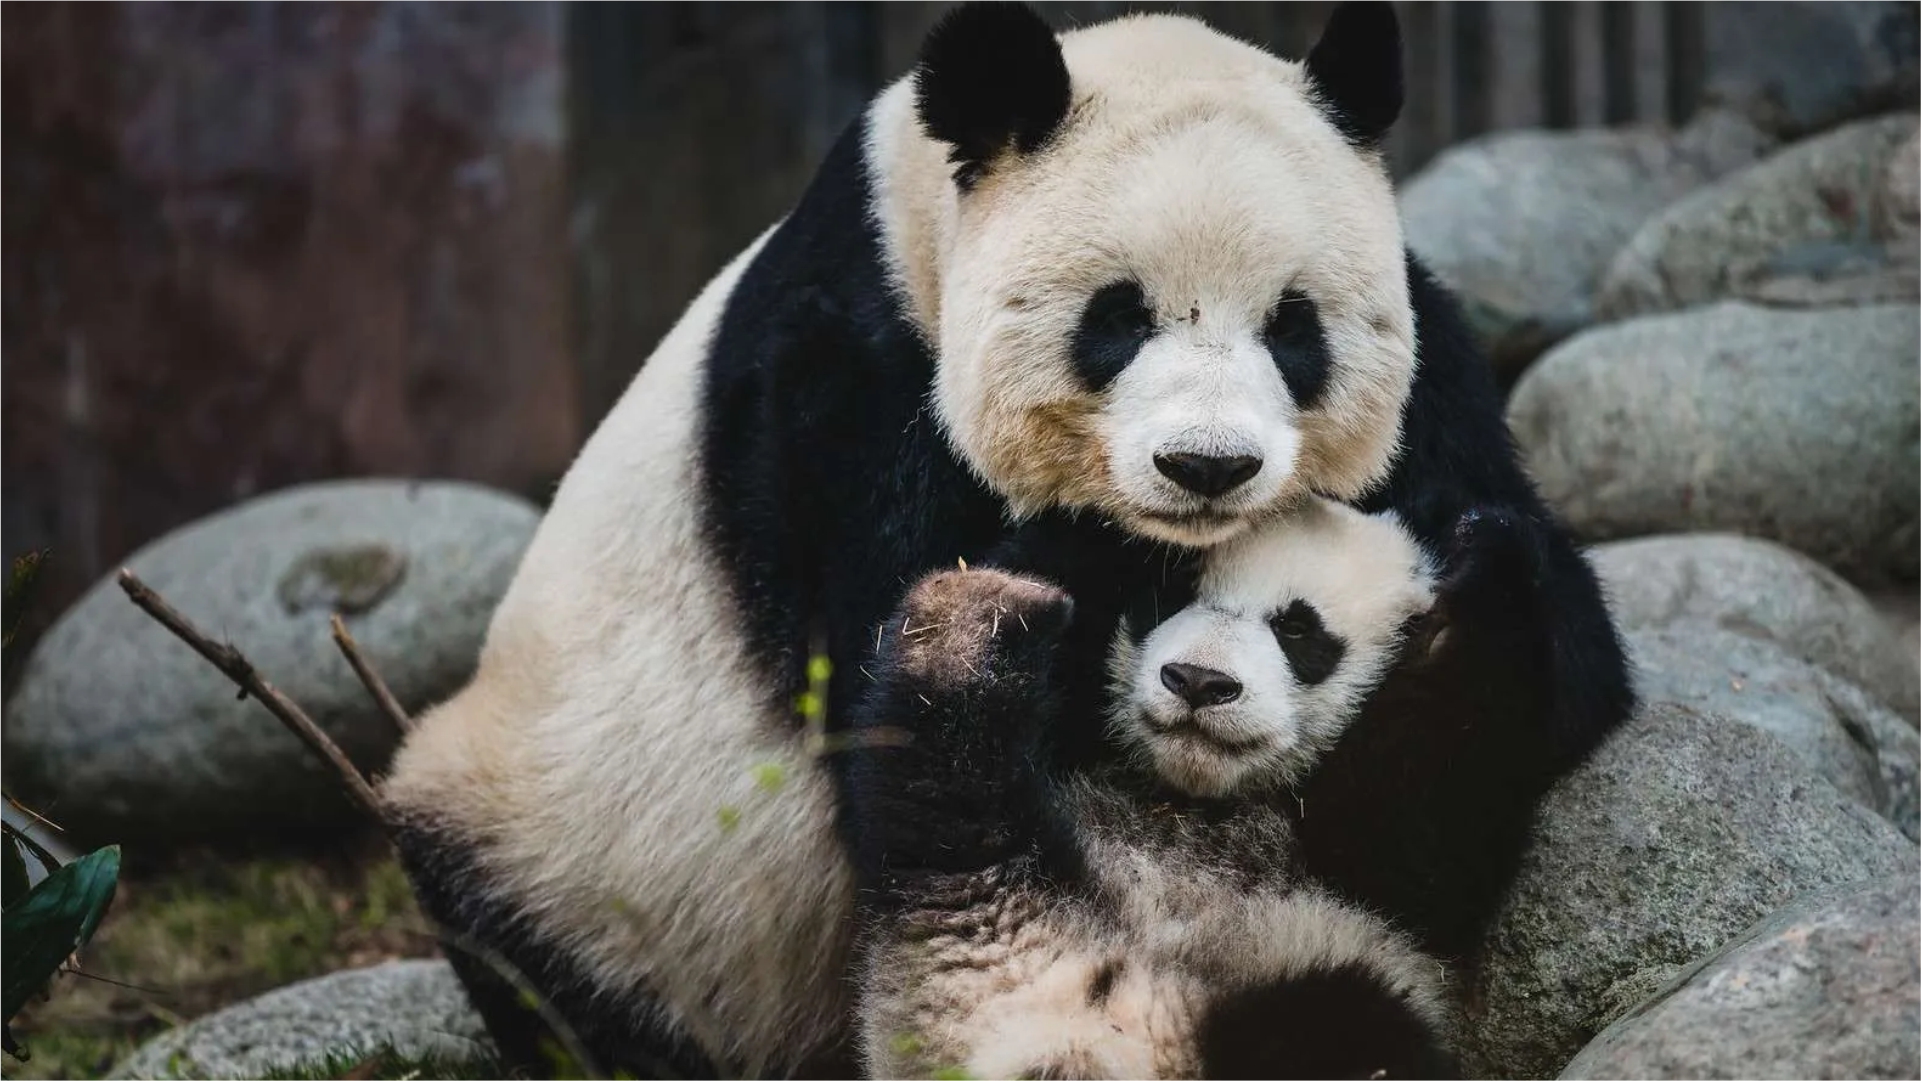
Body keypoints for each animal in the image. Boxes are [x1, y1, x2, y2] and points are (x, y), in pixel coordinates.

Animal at [844, 497, 1542, 1078]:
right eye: (1172, 594)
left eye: (1296, 628)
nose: (1199, 682)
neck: (1191, 797)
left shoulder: (1370, 863)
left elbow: (1423, 830)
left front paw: (1485, 554)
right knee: (944, 787)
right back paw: (972, 628)